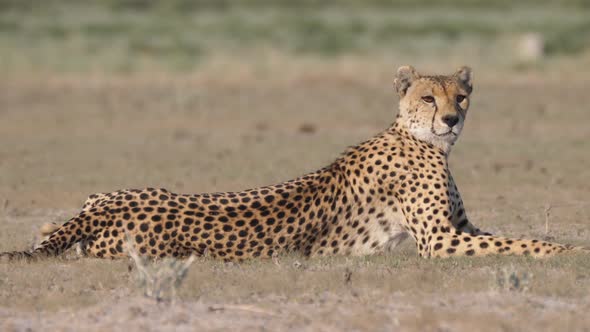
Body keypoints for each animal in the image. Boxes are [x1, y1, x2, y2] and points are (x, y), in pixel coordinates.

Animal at [2, 65, 588, 262]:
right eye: (428, 97)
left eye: (460, 97)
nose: (450, 119)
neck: (419, 139)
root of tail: (107, 206)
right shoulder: (440, 241)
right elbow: (520, 243)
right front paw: (566, 252)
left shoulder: (460, 227)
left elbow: (514, 235)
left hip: (100, 195)